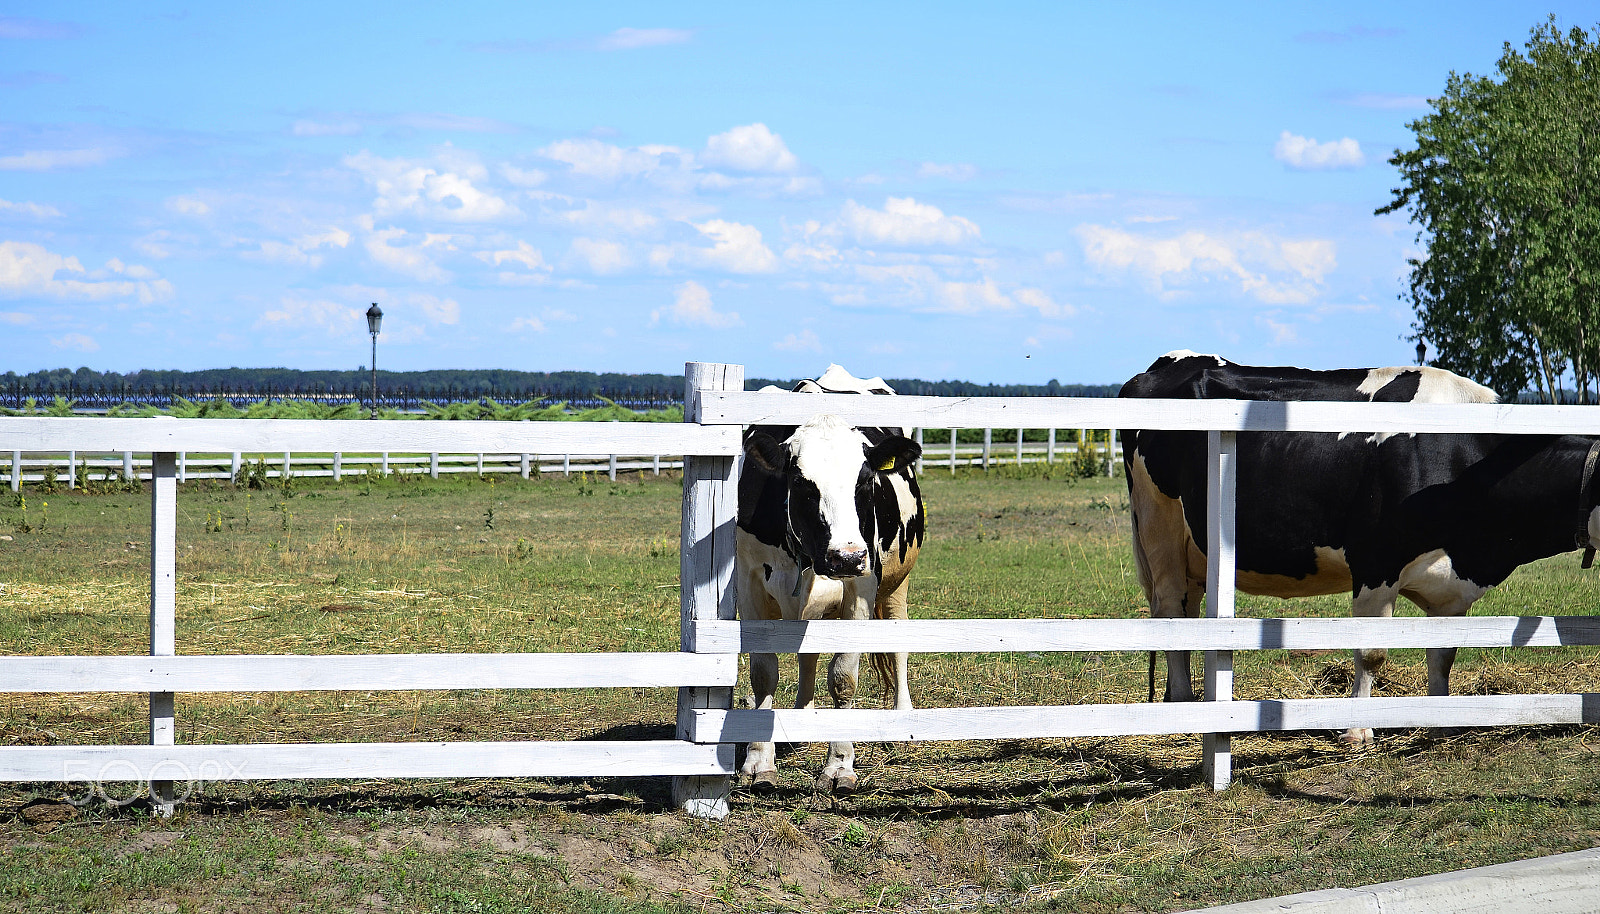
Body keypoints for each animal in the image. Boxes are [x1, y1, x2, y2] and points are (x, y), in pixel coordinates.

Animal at [736, 365, 925, 790]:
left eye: (865, 481)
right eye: (802, 485)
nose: (847, 556)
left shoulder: (861, 586)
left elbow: (843, 677)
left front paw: (839, 765)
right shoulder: (749, 583)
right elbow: (763, 673)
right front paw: (758, 761)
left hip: (897, 582)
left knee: (899, 641)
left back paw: (901, 718)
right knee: (807, 656)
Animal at [1120, 350, 1600, 745]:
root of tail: (1163, 365)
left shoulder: (1450, 583)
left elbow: (1443, 654)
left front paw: (1440, 720)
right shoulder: (1376, 563)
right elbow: (1372, 653)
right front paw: (1357, 730)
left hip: (1194, 550)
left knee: (1186, 612)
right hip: (1159, 524)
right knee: (1170, 611)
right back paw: (1185, 706)